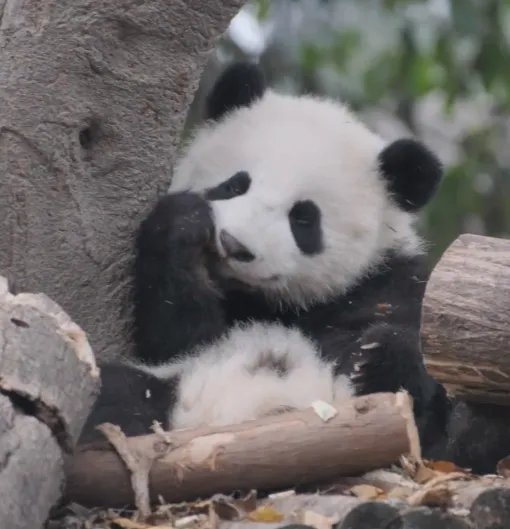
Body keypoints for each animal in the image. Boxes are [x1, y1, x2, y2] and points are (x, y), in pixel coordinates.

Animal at [79, 62, 450, 456]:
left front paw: (376, 358)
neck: (265, 301)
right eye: (234, 185)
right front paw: (186, 223)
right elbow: (175, 336)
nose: (233, 244)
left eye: (303, 219)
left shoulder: (389, 284)